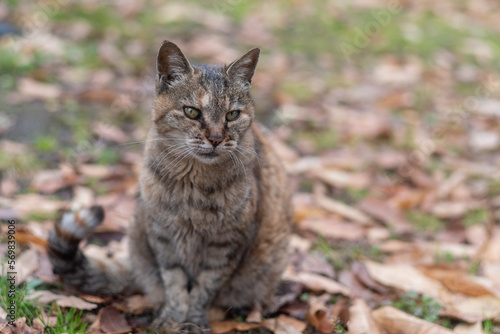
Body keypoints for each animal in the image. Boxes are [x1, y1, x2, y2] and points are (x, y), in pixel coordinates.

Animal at [47, 40, 292, 332]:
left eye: (232, 115)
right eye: (191, 112)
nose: (216, 139)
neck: (193, 186)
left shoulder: (227, 244)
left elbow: (205, 287)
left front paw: (194, 320)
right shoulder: (163, 237)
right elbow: (174, 283)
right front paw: (173, 318)